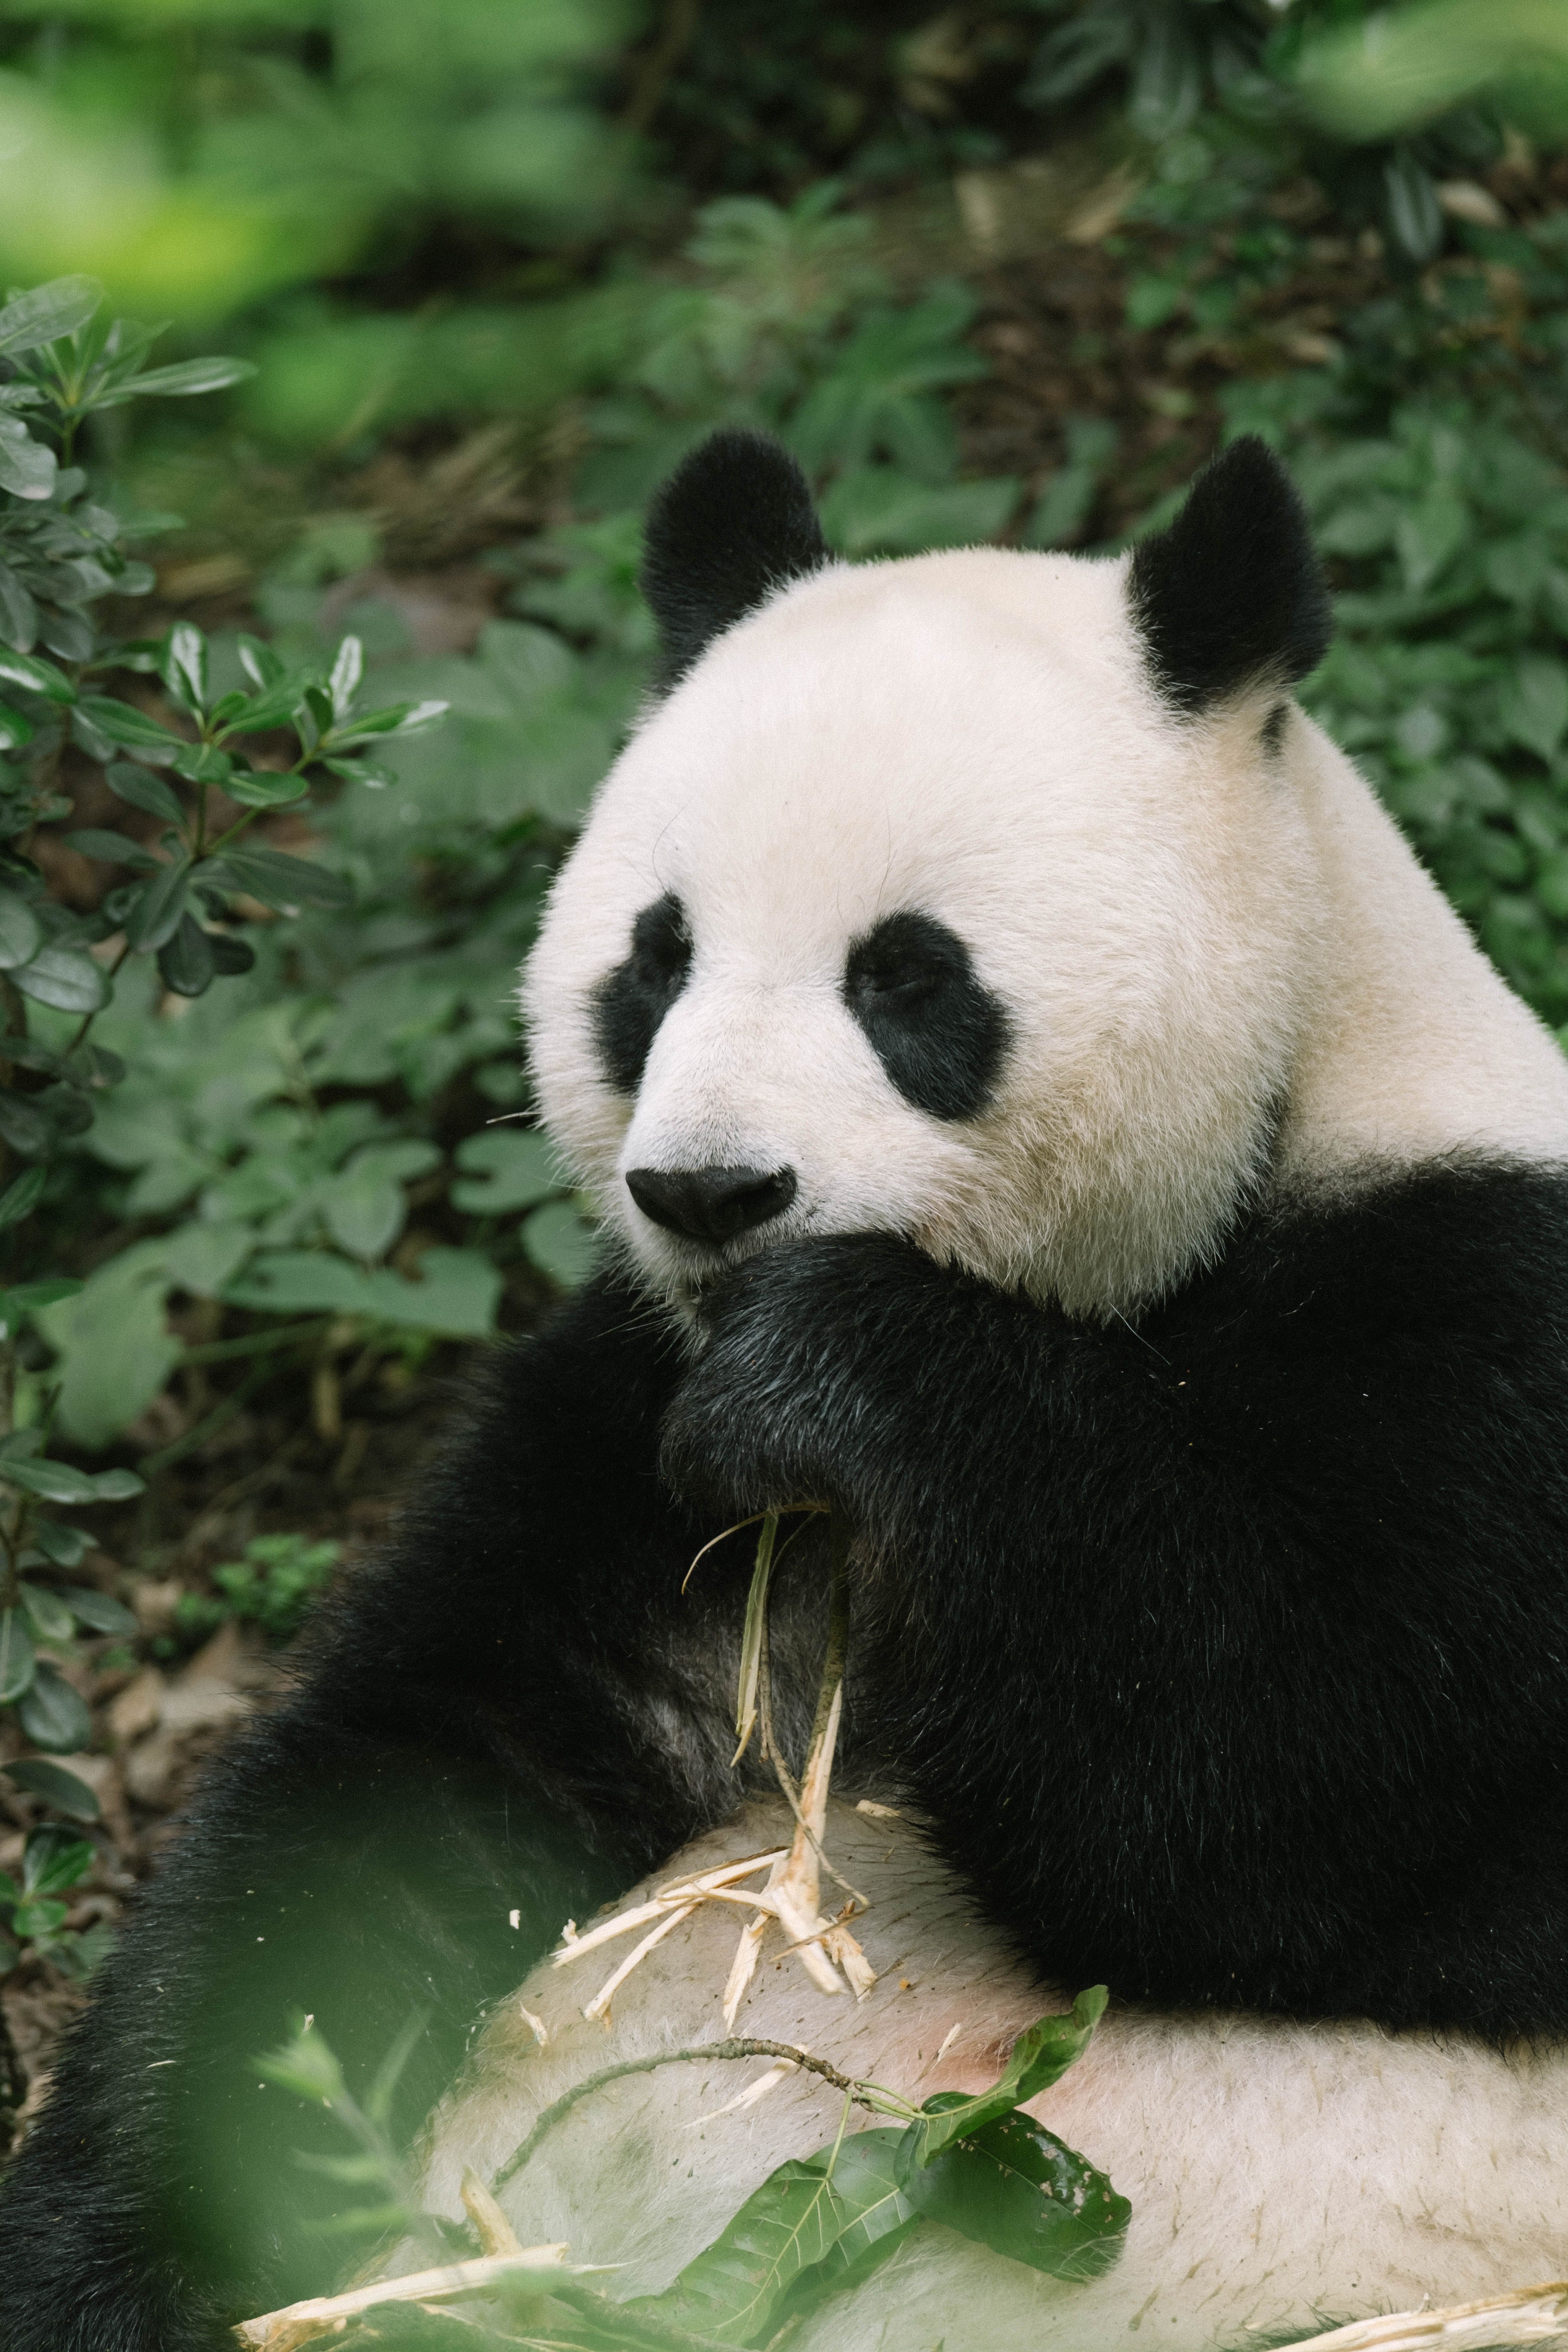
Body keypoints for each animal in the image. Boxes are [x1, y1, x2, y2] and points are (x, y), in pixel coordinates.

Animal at [4, 426, 1568, 2352]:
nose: (710, 1193)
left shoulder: (1481, 1323)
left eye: (906, 976)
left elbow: (1297, 1785)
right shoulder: (622, 1411)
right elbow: (408, 1795)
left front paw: (844, 1372)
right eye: (655, 959)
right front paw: (122, 2252)